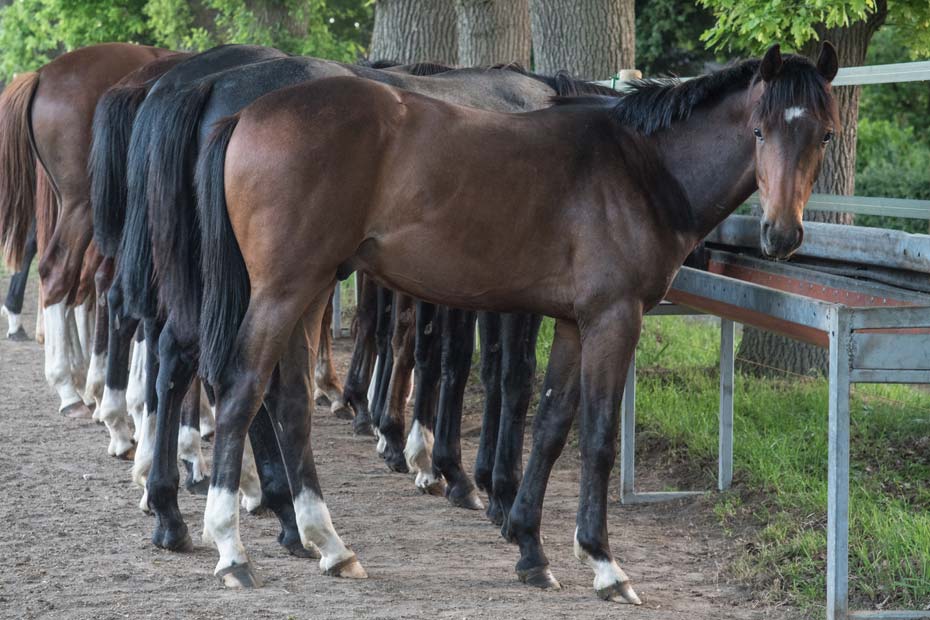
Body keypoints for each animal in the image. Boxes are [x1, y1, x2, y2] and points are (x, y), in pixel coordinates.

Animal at [198, 43, 840, 596]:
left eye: (825, 134)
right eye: (759, 130)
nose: (782, 234)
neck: (638, 167)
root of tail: (247, 111)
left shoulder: (577, 323)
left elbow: (553, 424)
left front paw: (531, 548)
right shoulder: (613, 319)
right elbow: (598, 435)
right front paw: (604, 563)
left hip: (309, 292)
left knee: (290, 401)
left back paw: (329, 544)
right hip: (285, 290)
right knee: (240, 390)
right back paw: (232, 550)